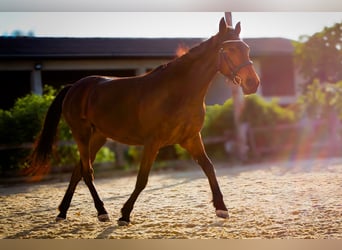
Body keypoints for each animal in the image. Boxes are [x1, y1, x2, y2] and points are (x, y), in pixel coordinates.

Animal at [29, 17, 260, 225]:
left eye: (247, 48)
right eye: (229, 50)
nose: (252, 83)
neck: (178, 93)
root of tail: (74, 87)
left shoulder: (191, 138)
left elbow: (209, 168)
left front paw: (221, 208)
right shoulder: (152, 142)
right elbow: (142, 179)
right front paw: (124, 214)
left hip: (98, 137)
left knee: (78, 171)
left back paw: (63, 212)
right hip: (82, 134)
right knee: (87, 172)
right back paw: (102, 211)